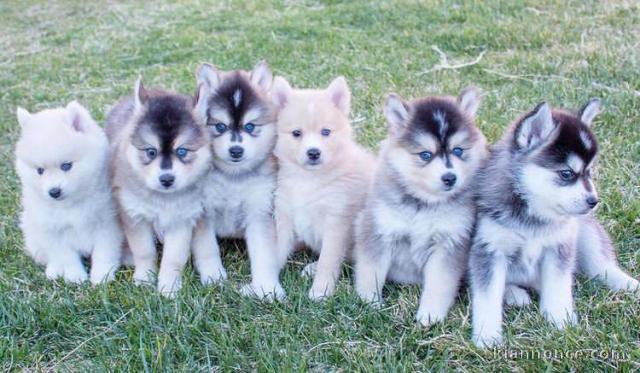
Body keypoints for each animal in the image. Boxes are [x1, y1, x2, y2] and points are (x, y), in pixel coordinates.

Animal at [15, 101, 123, 282]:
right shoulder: (53, 230)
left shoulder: (107, 224)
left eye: (66, 166)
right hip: (33, 234)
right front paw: (75, 276)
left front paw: (101, 276)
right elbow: (66, 256)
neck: (71, 204)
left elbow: (103, 252)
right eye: (40, 170)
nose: (54, 191)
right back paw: (53, 270)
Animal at [188, 61, 282, 300]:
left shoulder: (260, 211)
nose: (236, 150)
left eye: (250, 126)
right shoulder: (202, 211)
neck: (233, 178)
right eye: (220, 126)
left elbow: (264, 254)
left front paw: (268, 288)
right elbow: (207, 248)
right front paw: (213, 276)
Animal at [268, 75, 376, 300]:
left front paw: (320, 291)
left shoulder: (336, 223)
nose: (313, 152)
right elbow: (275, 253)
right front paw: (264, 285)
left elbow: (328, 261)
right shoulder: (284, 217)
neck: (308, 180)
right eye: (296, 133)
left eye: (326, 132)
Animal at [356, 88, 484, 326]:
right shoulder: (380, 231)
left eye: (458, 151)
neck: (424, 203)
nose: (450, 178)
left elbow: (439, 283)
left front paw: (430, 315)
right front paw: (369, 303)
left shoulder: (449, 242)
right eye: (425, 154)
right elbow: (371, 271)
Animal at [468, 98, 636, 346]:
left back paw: (628, 283)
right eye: (566, 173)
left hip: (584, 229)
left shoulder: (560, 246)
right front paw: (487, 336)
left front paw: (560, 320)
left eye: (589, 172)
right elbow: (487, 296)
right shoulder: (489, 249)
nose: (593, 201)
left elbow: (558, 286)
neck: (534, 215)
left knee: (600, 265)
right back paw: (514, 293)